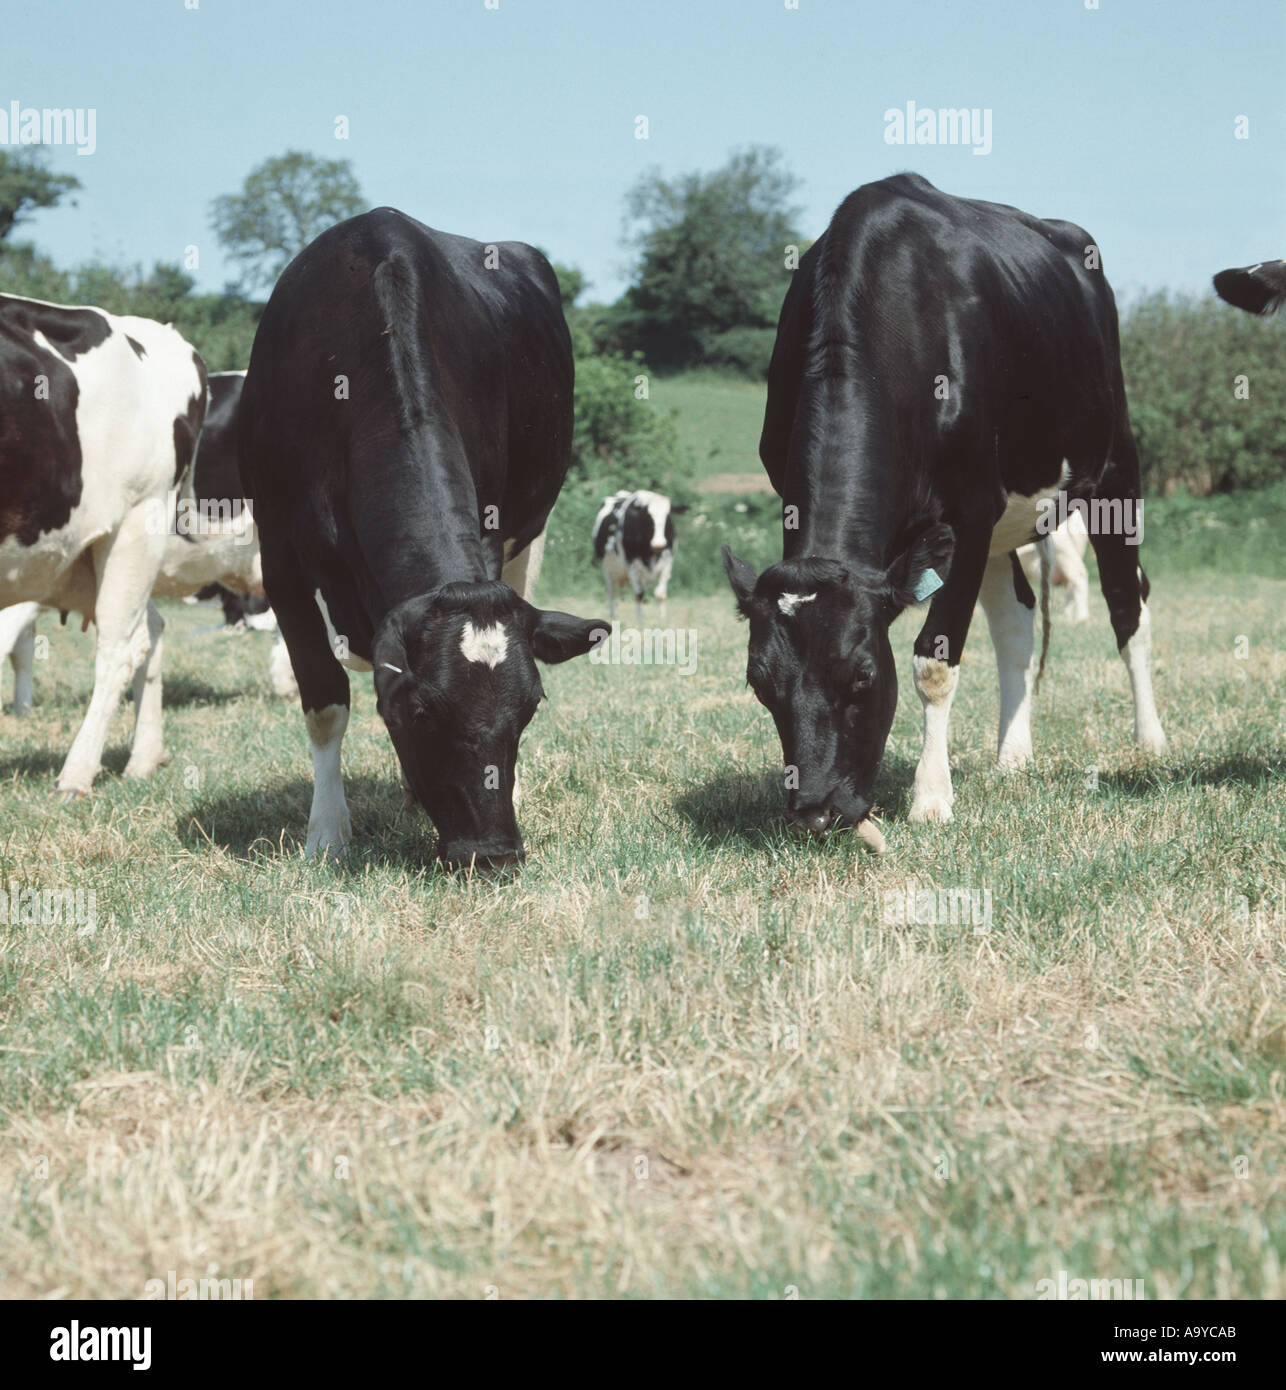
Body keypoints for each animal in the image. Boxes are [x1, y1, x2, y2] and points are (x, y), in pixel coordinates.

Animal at [239, 207, 607, 870]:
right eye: (420, 709)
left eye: (530, 706)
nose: (493, 853)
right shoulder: (278, 557)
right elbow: (325, 701)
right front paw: (327, 836)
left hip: (530, 532)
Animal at [592, 488, 676, 620]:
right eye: (648, 518)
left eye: (667, 518)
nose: (659, 544)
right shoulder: (631, 565)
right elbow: (639, 594)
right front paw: (641, 621)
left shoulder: (667, 562)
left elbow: (660, 594)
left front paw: (662, 620)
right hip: (607, 569)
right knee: (611, 592)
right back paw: (613, 616)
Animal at [722, 173, 1165, 839]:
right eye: (759, 683)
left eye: (863, 674)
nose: (816, 813)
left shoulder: (967, 512)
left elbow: (935, 661)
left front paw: (931, 798)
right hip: (1005, 523)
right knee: (1016, 619)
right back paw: (1013, 756)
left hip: (1115, 469)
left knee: (1125, 602)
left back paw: (1151, 742)